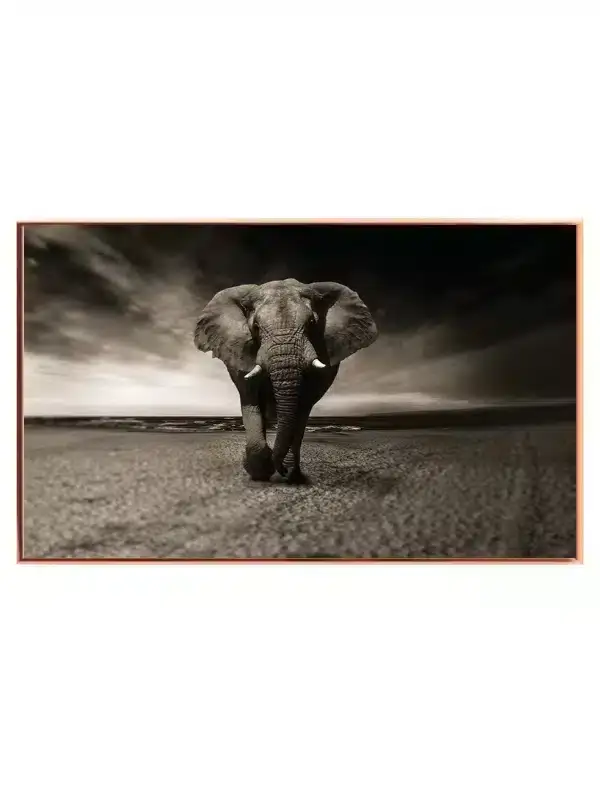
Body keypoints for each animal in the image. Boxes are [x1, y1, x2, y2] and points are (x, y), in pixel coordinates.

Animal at [193, 278, 378, 483]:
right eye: (256, 326)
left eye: (312, 323)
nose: (280, 469)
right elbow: (251, 399)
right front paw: (260, 471)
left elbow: (302, 406)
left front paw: (282, 470)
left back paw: (292, 474)